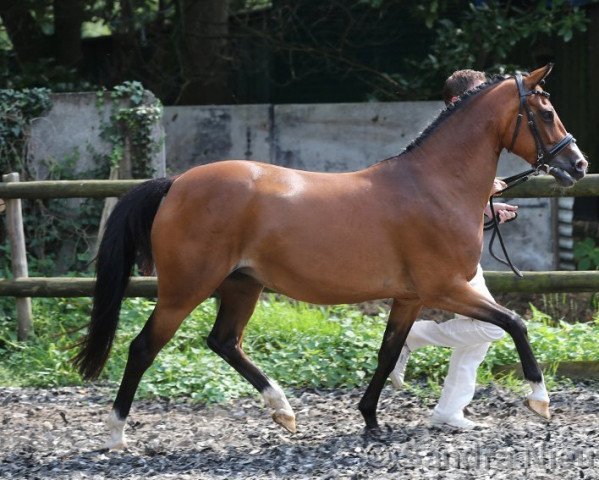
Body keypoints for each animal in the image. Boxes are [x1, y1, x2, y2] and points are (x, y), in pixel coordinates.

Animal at [74, 64, 584, 450]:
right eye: (546, 112)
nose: (577, 165)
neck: (434, 185)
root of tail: (177, 183)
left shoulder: (411, 297)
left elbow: (388, 351)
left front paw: (371, 419)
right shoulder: (445, 289)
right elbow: (515, 324)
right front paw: (540, 400)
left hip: (242, 285)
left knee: (224, 342)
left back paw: (283, 412)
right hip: (185, 289)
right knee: (144, 347)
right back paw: (117, 434)